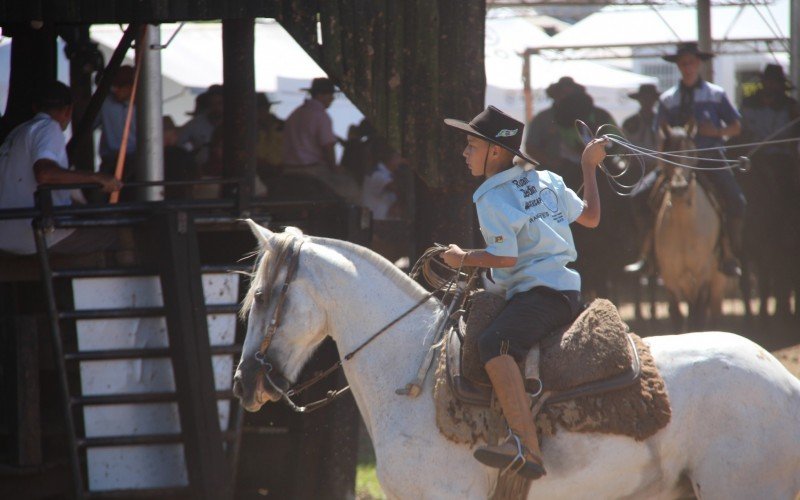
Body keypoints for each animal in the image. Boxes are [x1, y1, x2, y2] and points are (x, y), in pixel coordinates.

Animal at [656, 126, 724, 328]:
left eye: (692, 153)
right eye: (666, 153)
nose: (679, 188)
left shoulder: (702, 277)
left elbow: (698, 316)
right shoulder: (670, 279)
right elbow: (677, 316)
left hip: (718, 281)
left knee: (714, 313)